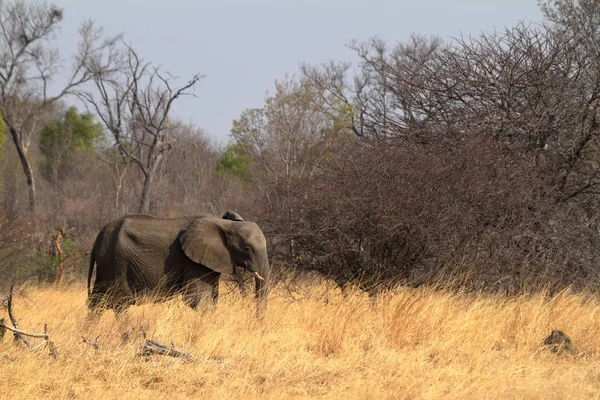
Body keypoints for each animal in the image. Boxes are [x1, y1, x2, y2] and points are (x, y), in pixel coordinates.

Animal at [86, 211, 270, 318]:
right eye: (247, 248)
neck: (224, 224)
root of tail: (97, 241)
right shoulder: (192, 262)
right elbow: (198, 300)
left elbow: (213, 298)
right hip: (117, 263)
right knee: (120, 304)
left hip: (107, 264)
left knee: (97, 303)